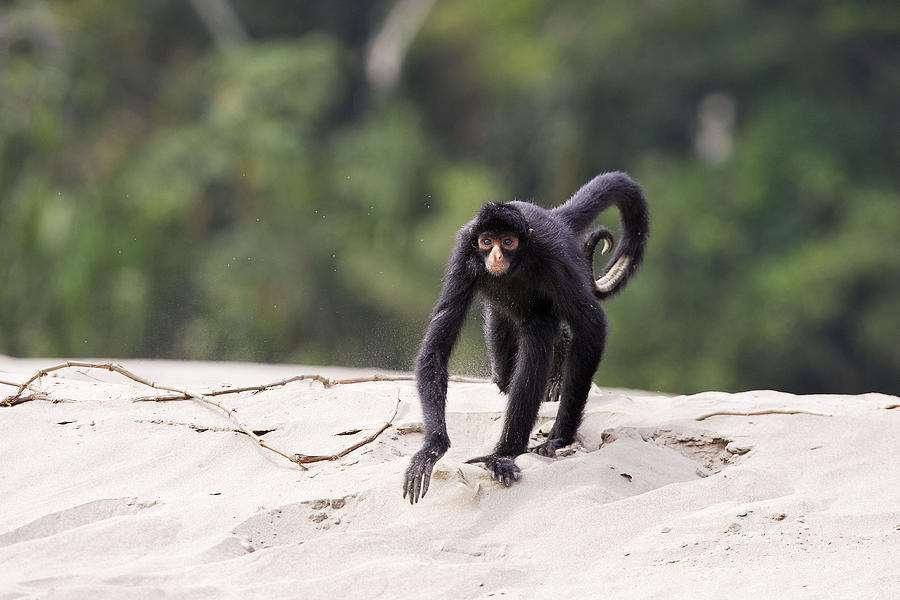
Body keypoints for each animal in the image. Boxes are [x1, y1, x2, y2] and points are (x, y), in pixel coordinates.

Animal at [404, 171, 652, 504]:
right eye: (487, 242)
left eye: (508, 242)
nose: (496, 254)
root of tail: (551, 216)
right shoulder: (464, 257)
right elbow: (436, 349)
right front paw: (431, 450)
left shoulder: (554, 260)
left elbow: (593, 326)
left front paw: (559, 439)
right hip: (498, 319)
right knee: (504, 372)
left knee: (538, 332)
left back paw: (503, 455)